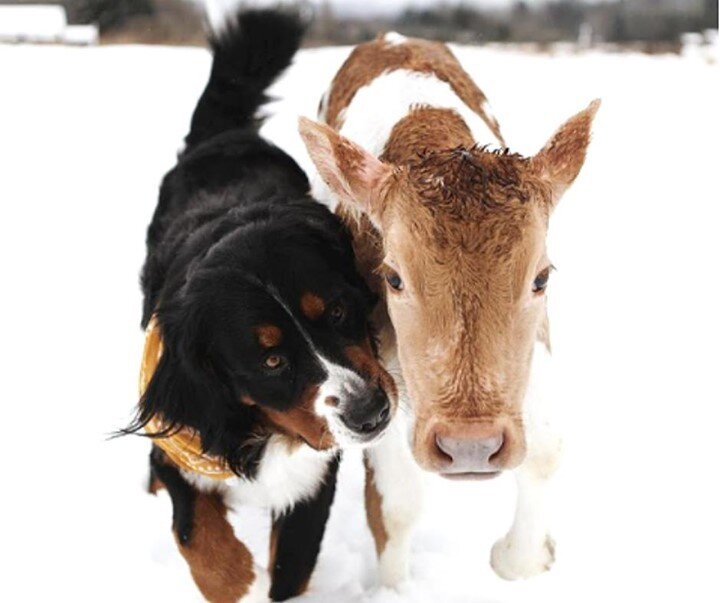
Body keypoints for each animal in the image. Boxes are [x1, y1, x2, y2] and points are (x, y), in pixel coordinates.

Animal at [130, 10, 400, 603]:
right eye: (271, 361)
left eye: (339, 313)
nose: (370, 413)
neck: (265, 431)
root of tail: (227, 136)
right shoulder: (186, 437)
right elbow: (200, 537)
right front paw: (234, 575)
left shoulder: (313, 482)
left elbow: (291, 567)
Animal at [300, 33, 600, 584]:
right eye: (393, 278)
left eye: (542, 277)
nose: (470, 445)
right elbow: (396, 506)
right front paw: (392, 588)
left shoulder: (533, 355)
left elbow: (546, 451)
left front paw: (528, 555)